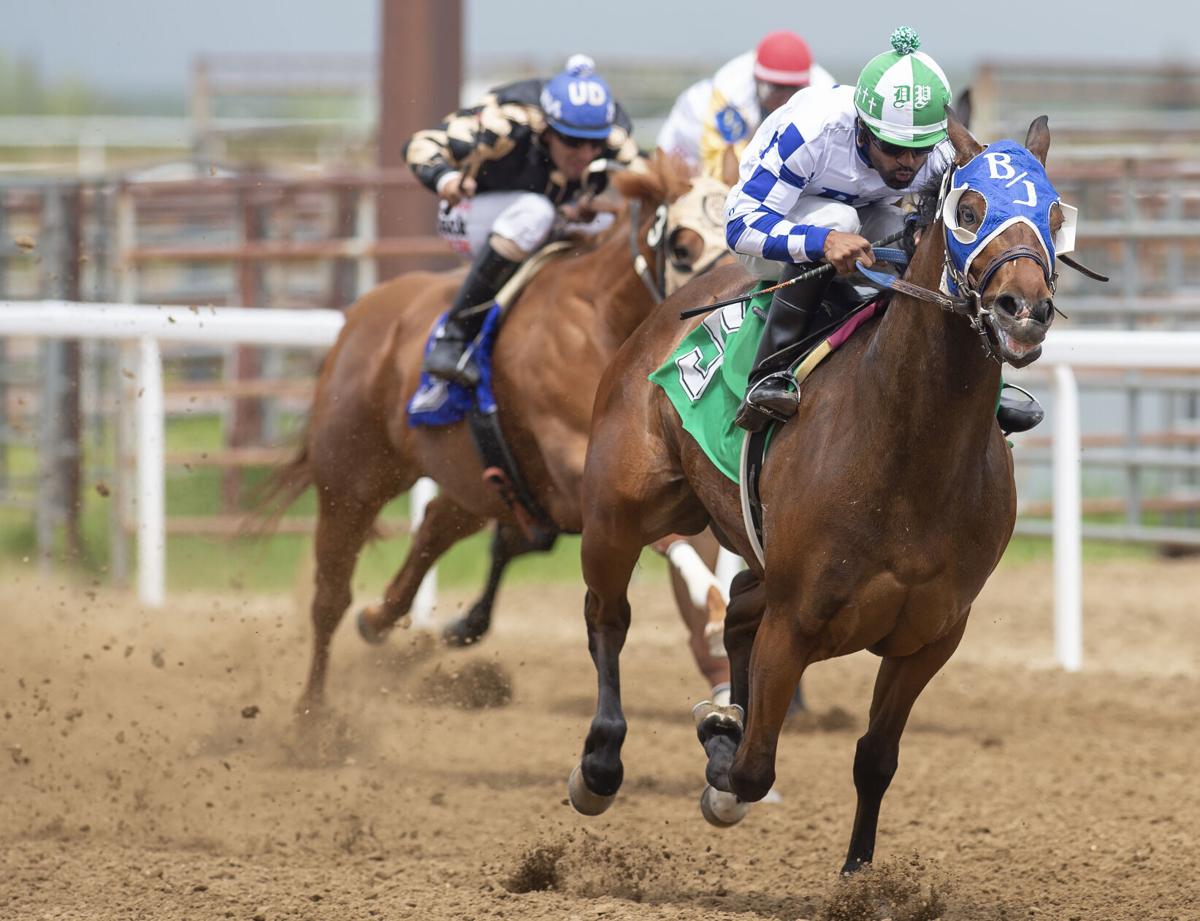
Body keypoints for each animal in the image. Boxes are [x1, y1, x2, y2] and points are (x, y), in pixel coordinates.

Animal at [259, 154, 732, 710]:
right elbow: (669, 542)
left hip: (473, 483)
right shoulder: (583, 473)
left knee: (433, 526)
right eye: (682, 245)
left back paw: (380, 621)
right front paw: (714, 609)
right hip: (351, 479)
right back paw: (312, 713)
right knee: (330, 596)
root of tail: (359, 316)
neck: (603, 322)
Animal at [567, 112, 1067, 873]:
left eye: (1055, 214)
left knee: (735, 606)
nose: (1024, 310)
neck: (912, 455)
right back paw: (599, 764)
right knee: (609, 616)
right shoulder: (797, 620)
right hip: (620, 510)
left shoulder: (931, 635)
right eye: (968, 209)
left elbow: (875, 758)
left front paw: (859, 876)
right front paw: (720, 752)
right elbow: (751, 769)